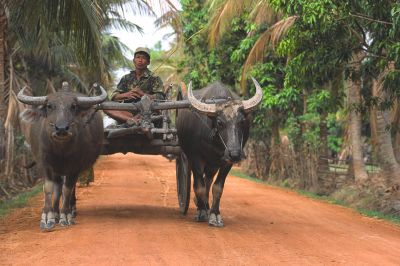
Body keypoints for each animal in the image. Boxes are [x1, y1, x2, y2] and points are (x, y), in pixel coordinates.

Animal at [17, 82, 106, 230]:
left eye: (73, 106)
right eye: (49, 106)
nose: (62, 129)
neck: (61, 150)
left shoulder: (75, 166)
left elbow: (68, 189)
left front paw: (66, 215)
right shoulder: (45, 164)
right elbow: (49, 188)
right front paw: (48, 217)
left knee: (68, 188)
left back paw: (70, 210)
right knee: (57, 187)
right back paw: (55, 213)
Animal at [176, 77, 262, 227]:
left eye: (241, 122)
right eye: (220, 123)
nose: (235, 153)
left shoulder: (227, 162)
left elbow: (217, 188)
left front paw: (214, 215)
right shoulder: (195, 158)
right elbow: (199, 186)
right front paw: (202, 212)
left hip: (213, 164)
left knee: (209, 180)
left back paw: (204, 204)